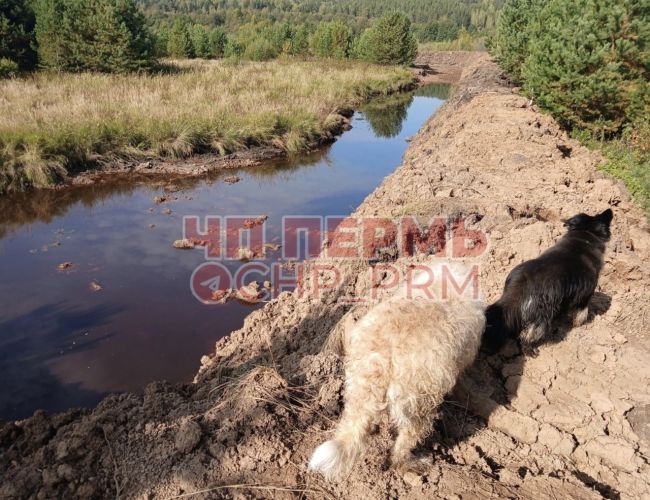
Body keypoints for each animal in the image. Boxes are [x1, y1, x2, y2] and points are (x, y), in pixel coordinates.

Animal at [306, 260, 484, 478]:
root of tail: (380, 362)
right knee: (403, 445)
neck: (443, 282)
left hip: (356, 387)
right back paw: (412, 463)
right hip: (419, 406)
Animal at [480, 209, 612, 354]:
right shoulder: (585, 293)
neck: (584, 236)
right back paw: (530, 349)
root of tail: (523, 283)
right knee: (528, 334)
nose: (609, 211)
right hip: (543, 314)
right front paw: (580, 323)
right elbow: (581, 312)